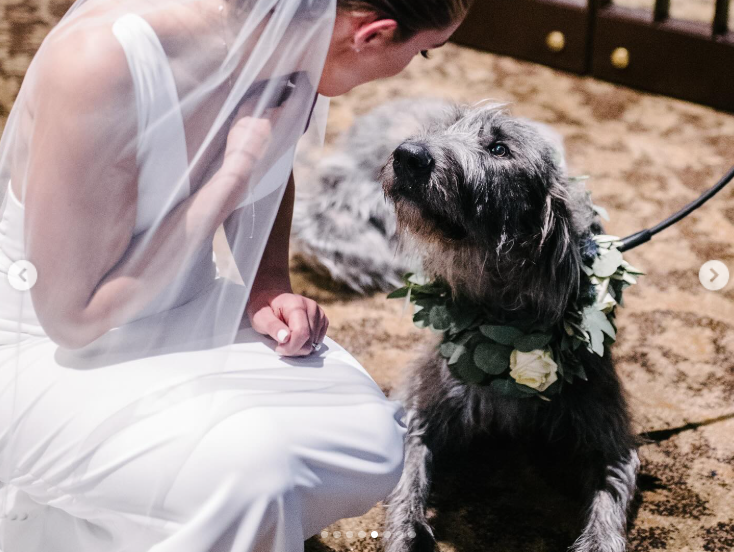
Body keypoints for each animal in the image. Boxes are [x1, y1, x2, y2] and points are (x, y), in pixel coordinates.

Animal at [296, 99, 640, 552]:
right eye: (448, 129)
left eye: (499, 149)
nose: (408, 155)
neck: (506, 320)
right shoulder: (419, 408)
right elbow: (408, 482)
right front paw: (407, 533)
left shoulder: (609, 439)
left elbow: (608, 501)